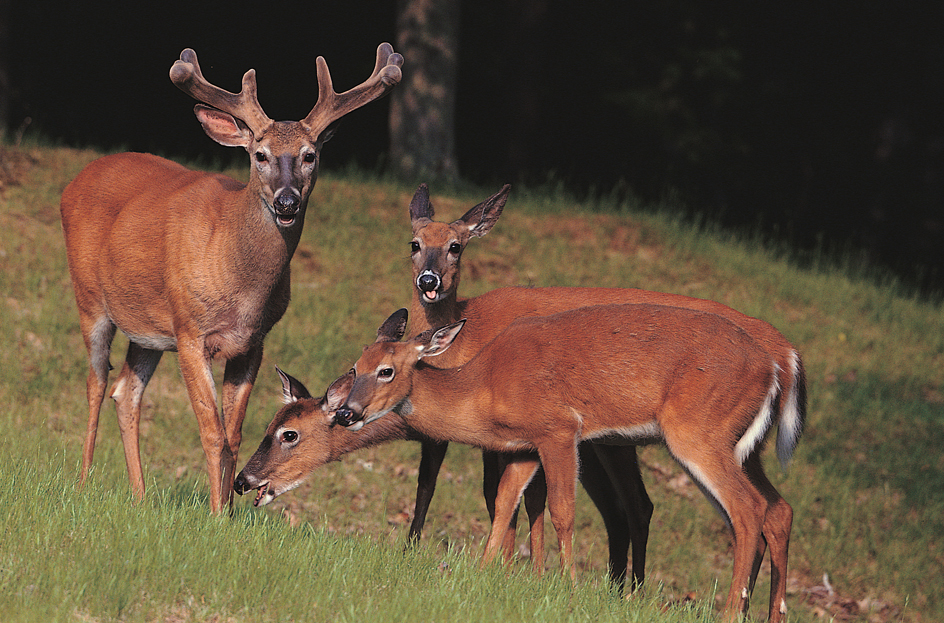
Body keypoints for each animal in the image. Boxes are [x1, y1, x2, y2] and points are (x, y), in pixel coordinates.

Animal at [60, 42, 402, 512]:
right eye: (259, 155)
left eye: (310, 155)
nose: (287, 201)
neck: (241, 284)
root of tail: (74, 181)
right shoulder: (190, 331)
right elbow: (212, 433)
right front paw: (215, 512)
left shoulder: (253, 342)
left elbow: (235, 435)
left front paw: (226, 513)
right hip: (90, 298)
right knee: (96, 383)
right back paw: (82, 481)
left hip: (146, 329)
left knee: (126, 392)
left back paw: (140, 496)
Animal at [334, 308, 796, 623]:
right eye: (355, 368)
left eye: (386, 371)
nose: (347, 412)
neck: (484, 388)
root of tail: (774, 368)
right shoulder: (524, 445)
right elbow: (504, 501)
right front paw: (481, 572)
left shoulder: (558, 428)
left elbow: (562, 511)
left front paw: (568, 587)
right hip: (739, 445)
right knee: (776, 508)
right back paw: (768, 613)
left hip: (698, 430)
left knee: (747, 508)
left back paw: (731, 612)